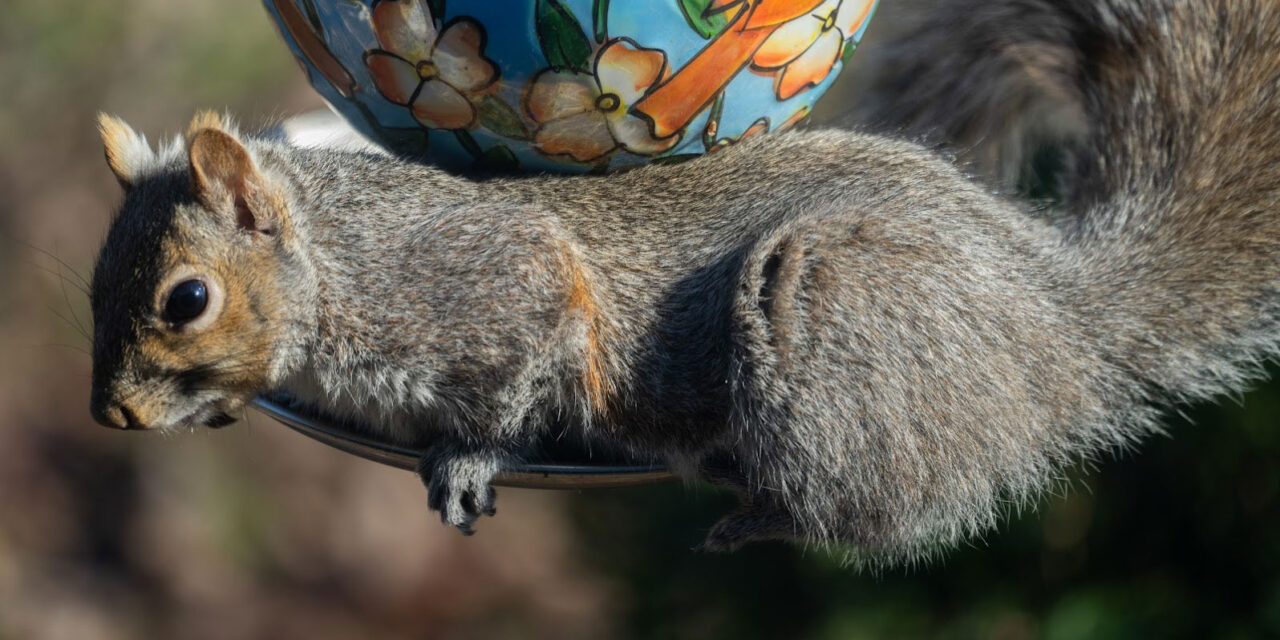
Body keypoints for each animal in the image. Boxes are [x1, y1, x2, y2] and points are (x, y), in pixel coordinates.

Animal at [88, 0, 1280, 567]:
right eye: (95, 284)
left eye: (186, 299)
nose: (113, 414)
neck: (337, 262)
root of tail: (1059, 321)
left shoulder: (497, 280)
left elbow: (521, 372)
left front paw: (470, 459)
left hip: (835, 312)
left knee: (891, 509)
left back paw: (756, 517)